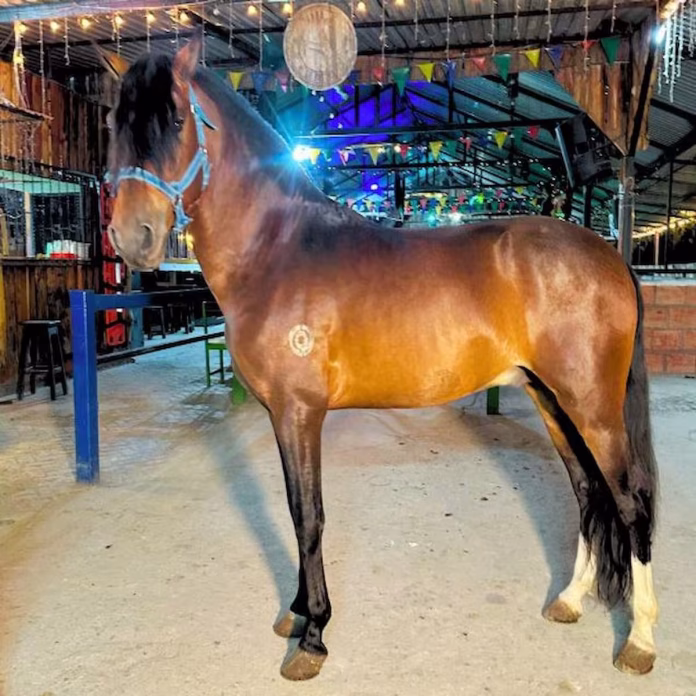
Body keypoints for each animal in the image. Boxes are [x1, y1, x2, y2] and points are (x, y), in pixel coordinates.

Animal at [105, 39, 658, 681]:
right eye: (115, 122)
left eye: (175, 120)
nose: (134, 237)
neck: (278, 248)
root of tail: (609, 256)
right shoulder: (281, 416)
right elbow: (294, 511)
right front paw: (297, 613)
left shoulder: (300, 412)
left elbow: (308, 515)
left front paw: (313, 635)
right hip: (554, 402)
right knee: (590, 495)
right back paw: (569, 600)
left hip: (593, 408)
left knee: (631, 501)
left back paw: (640, 641)